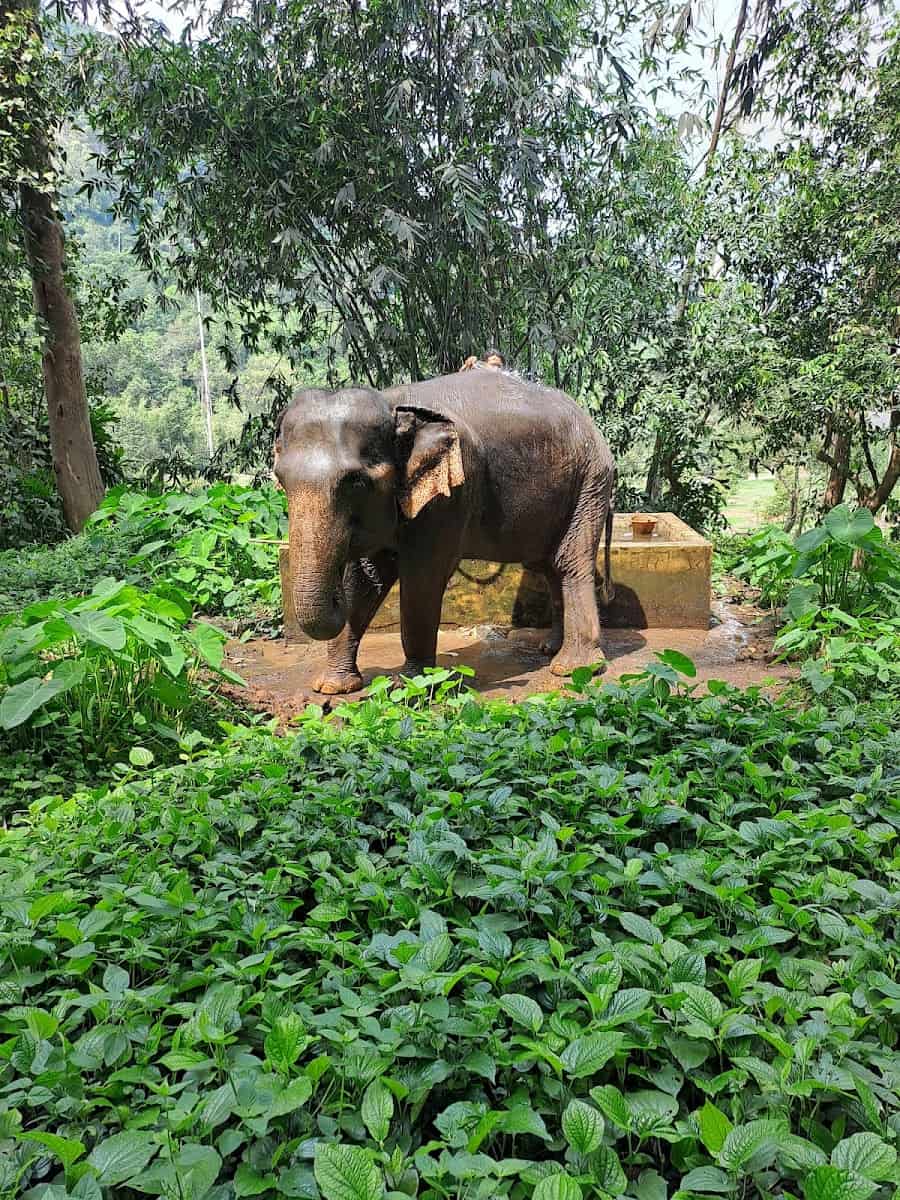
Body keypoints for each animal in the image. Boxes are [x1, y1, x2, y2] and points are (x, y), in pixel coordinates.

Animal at [274, 367, 616, 694]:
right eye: (280, 479)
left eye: (356, 483)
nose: (334, 595)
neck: (392, 404)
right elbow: (365, 580)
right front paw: (332, 687)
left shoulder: (450, 496)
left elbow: (422, 579)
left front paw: (411, 686)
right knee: (547, 564)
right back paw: (551, 648)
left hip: (590, 481)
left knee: (570, 563)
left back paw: (574, 667)